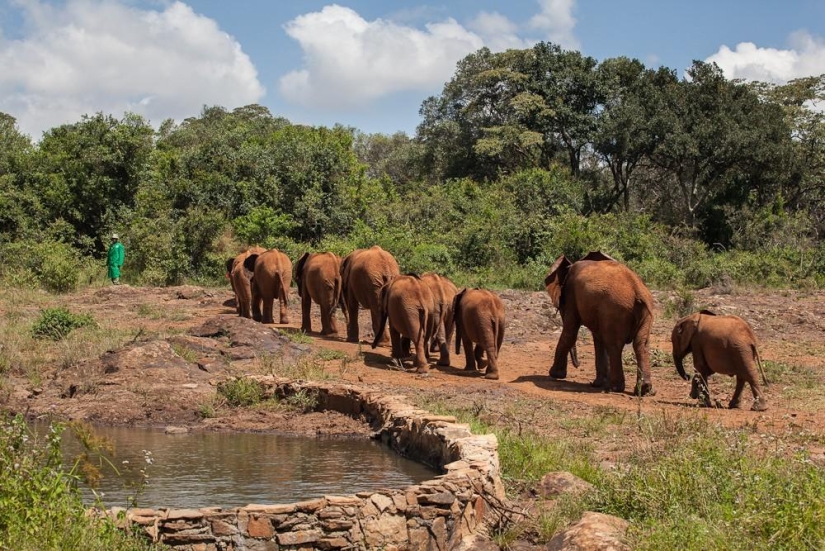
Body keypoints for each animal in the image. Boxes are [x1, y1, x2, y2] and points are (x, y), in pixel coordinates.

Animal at [545, 251, 655, 396]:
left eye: (560, 304)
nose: (578, 365)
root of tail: (638, 290)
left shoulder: (571, 296)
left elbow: (570, 332)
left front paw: (554, 374)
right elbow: (598, 338)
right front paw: (598, 383)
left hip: (615, 309)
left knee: (614, 345)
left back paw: (615, 388)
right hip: (643, 313)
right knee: (641, 344)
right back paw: (644, 390)